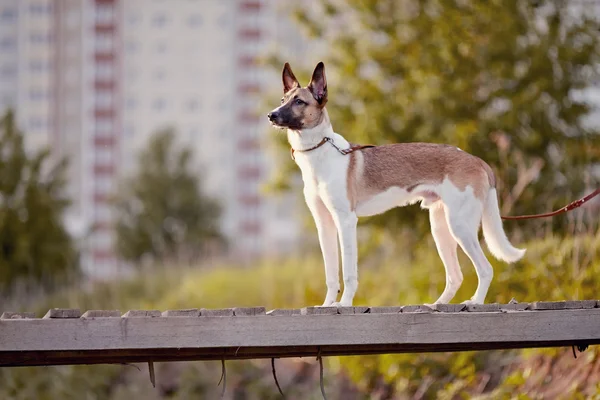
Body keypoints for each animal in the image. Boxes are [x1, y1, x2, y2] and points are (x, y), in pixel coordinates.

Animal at [268, 61, 524, 306]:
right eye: (282, 100)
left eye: (299, 101)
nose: (271, 115)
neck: (320, 153)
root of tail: (477, 160)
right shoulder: (325, 224)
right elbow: (331, 275)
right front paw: (327, 305)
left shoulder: (346, 221)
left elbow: (349, 273)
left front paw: (345, 304)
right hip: (441, 227)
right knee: (455, 276)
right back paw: (436, 304)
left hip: (460, 226)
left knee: (485, 268)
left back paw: (476, 302)